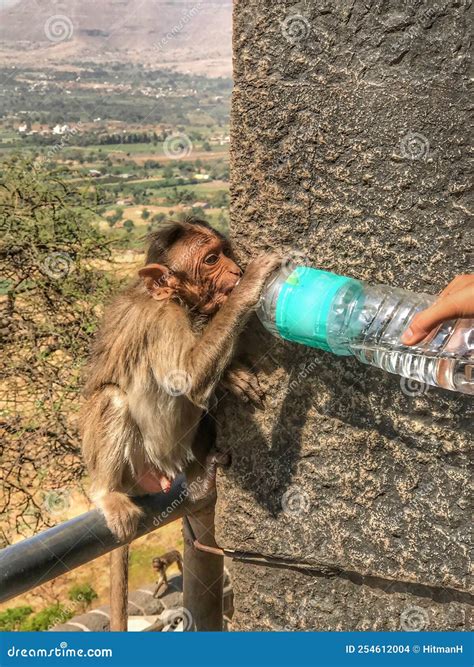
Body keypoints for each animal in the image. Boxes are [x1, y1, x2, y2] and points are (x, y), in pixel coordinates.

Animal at [79, 219, 280, 544]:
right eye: (211, 260)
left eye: (226, 252)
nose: (236, 270)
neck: (181, 302)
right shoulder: (163, 318)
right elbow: (189, 378)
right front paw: (251, 284)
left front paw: (231, 375)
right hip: (137, 470)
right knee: (112, 397)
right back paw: (108, 494)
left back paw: (201, 481)